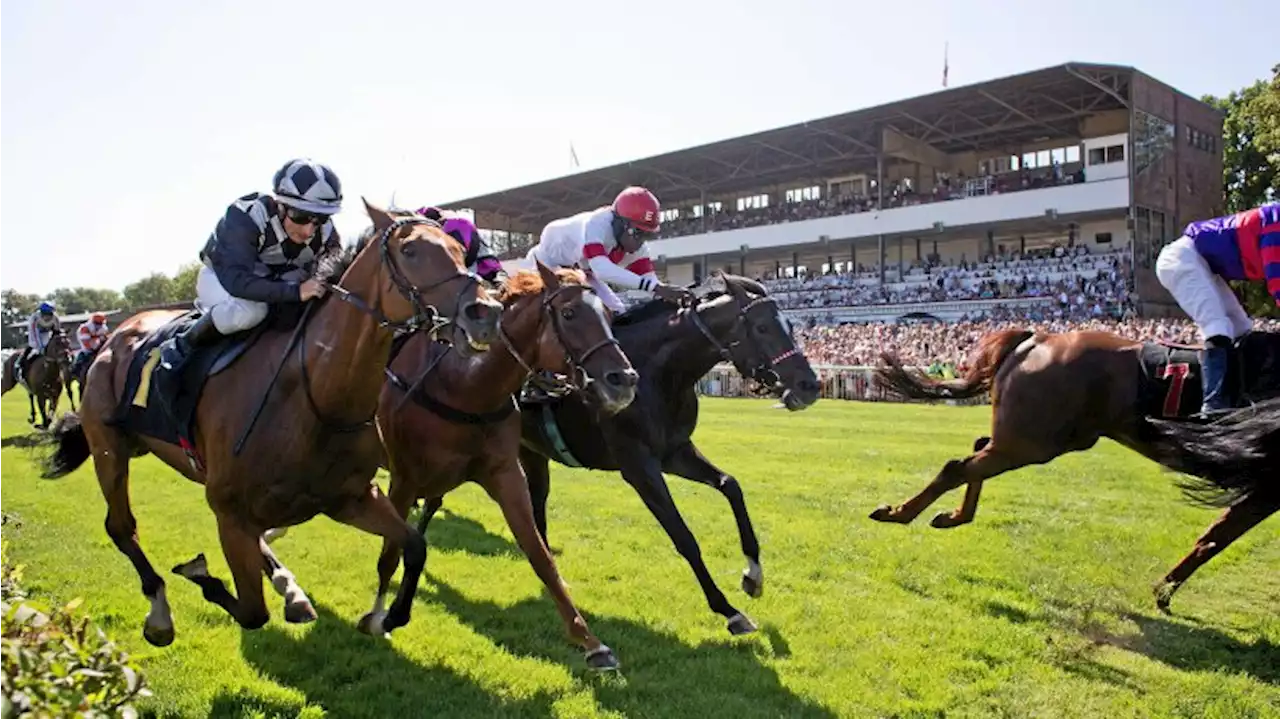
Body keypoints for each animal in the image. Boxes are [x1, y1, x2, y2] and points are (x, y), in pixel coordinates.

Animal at [37, 199, 501, 644]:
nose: (485, 312)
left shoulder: (350, 498)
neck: (316, 398)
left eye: (461, 251)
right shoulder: (229, 510)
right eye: (410, 250)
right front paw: (198, 573)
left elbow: (414, 544)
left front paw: (386, 617)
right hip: (109, 447)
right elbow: (251, 611)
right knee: (121, 527)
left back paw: (289, 590)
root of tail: (116, 336)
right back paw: (160, 612)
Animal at [360, 264, 640, 670]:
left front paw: (590, 641)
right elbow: (390, 552)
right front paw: (379, 615)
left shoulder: (505, 475)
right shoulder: (404, 479)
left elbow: (540, 555)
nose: (624, 380)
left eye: (607, 314)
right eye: (569, 313)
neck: (464, 386)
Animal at [414, 272, 824, 632]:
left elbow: (731, 485)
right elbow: (684, 536)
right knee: (435, 497)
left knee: (536, 506)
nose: (810, 385)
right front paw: (728, 610)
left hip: (530, 450)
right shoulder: (638, 466)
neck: (658, 373)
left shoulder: (675, 452)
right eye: (763, 328)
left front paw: (753, 574)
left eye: (789, 326)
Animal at [870, 324, 1280, 608]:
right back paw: (898, 513)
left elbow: (1215, 537)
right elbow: (1218, 537)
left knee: (978, 452)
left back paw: (953, 515)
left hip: (1045, 436)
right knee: (959, 465)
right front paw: (1164, 592)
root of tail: (1037, 339)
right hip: (1035, 439)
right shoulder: (1268, 485)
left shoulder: (1265, 489)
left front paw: (1164, 592)